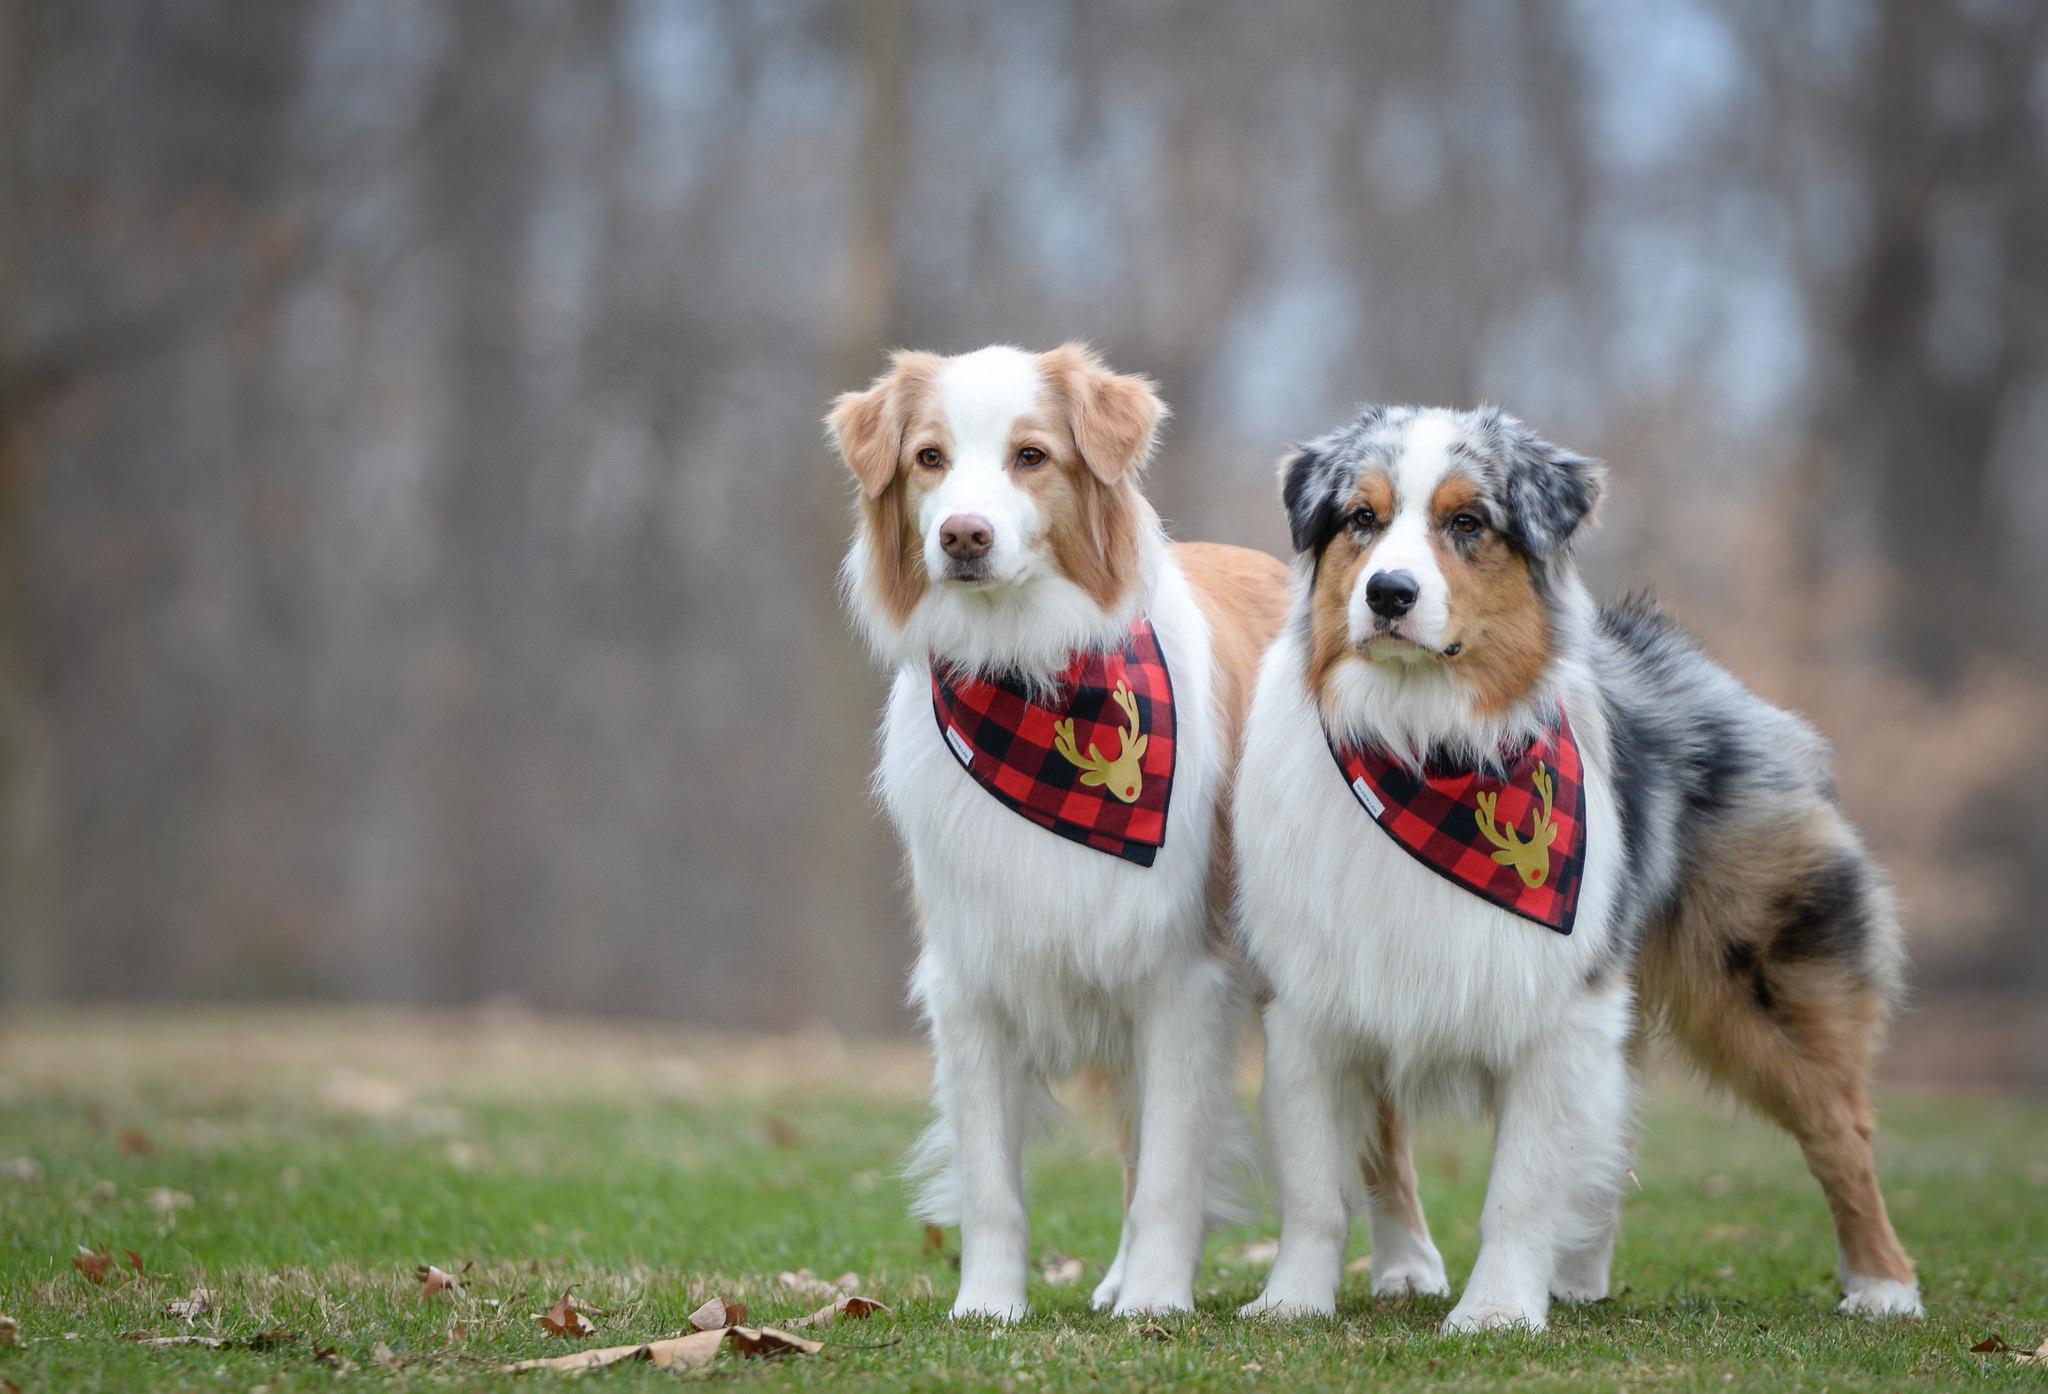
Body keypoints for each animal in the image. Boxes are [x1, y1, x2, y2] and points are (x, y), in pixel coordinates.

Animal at [819, 339, 1286, 1318]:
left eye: (1031, 457)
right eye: (929, 458)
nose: (963, 536)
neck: (1025, 667)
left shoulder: (1180, 973)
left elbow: (1172, 1171)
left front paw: (1157, 1301)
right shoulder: (971, 974)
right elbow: (993, 1181)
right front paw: (988, 1307)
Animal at [1228, 403, 1916, 1326]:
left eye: (1467, 523)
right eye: (1362, 520)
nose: (1388, 593)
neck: (1420, 741)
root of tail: (1699, 667)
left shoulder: (1561, 1006)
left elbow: (1523, 1182)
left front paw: (1495, 1312)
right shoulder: (1313, 997)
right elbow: (1314, 1183)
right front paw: (1292, 1302)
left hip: (1763, 980)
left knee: (1841, 1132)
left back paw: (1884, 1285)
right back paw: (1574, 1277)